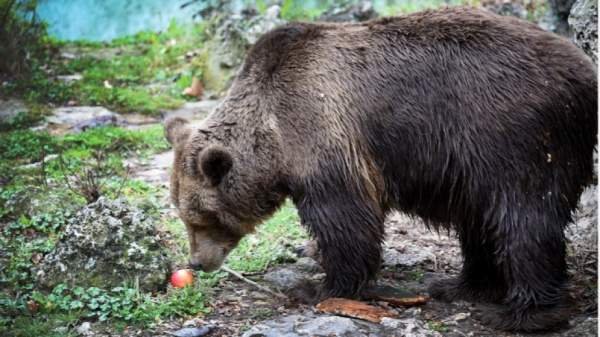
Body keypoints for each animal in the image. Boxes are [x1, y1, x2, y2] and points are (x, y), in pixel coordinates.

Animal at [163, 6, 596, 332]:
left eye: (201, 217)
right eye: (183, 214)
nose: (197, 262)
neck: (273, 133)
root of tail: (585, 73)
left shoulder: (323, 131)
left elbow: (346, 220)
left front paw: (318, 287)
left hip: (512, 133)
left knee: (522, 219)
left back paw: (522, 312)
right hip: (479, 159)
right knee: (480, 218)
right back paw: (460, 285)